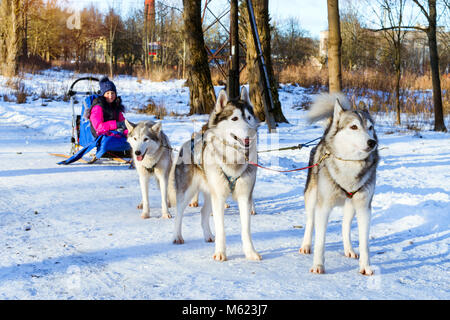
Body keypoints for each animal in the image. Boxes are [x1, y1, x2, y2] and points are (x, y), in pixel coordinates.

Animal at [169, 87, 260, 260]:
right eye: (234, 118)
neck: (233, 160)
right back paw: (177, 236)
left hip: (210, 193)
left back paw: (208, 235)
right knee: (179, 213)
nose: (250, 134)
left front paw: (250, 252)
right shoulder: (219, 197)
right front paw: (220, 253)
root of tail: (187, 143)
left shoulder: (244, 196)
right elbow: (221, 228)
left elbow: (246, 229)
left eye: (249, 117)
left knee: (203, 212)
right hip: (187, 193)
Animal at [298, 92, 380, 276]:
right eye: (354, 127)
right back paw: (305, 245)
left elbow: (364, 243)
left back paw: (348, 248)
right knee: (310, 222)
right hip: (312, 198)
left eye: (370, 127)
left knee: (345, 225)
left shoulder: (364, 208)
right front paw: (318, 265)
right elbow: (320, 240)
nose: (372, 142)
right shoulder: (323, 207)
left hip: (351, 205)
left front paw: (365, 266)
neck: (350, 164)